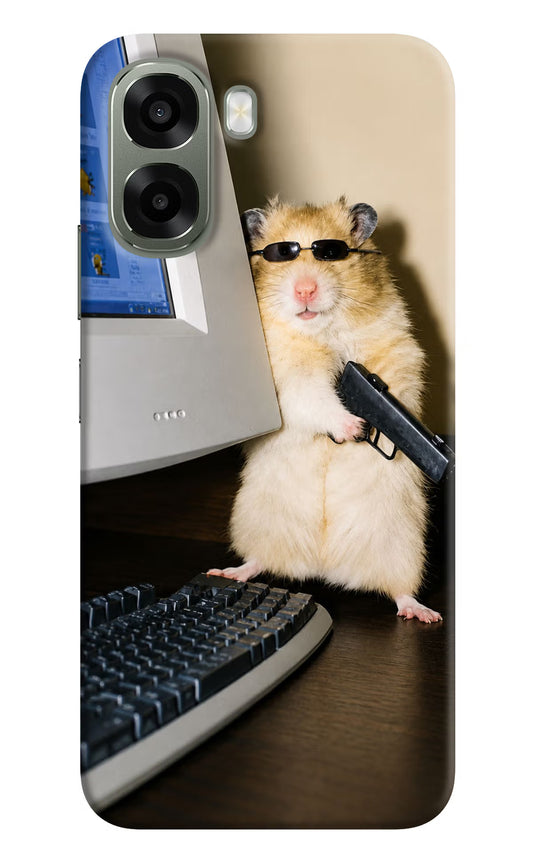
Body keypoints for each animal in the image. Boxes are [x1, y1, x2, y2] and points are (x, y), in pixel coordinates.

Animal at [208, 197, 441, 623]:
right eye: (281, 254)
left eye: (331, 253)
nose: (305, 289)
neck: (321, 331)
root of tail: (324, 567)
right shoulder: (287, 378)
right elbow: (314, 398)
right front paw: (353, 428)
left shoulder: (398, 350)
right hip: (257, 522)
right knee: (259, 561)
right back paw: (229, 572)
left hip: (402, 545)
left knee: (399, 590)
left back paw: (423, 613)